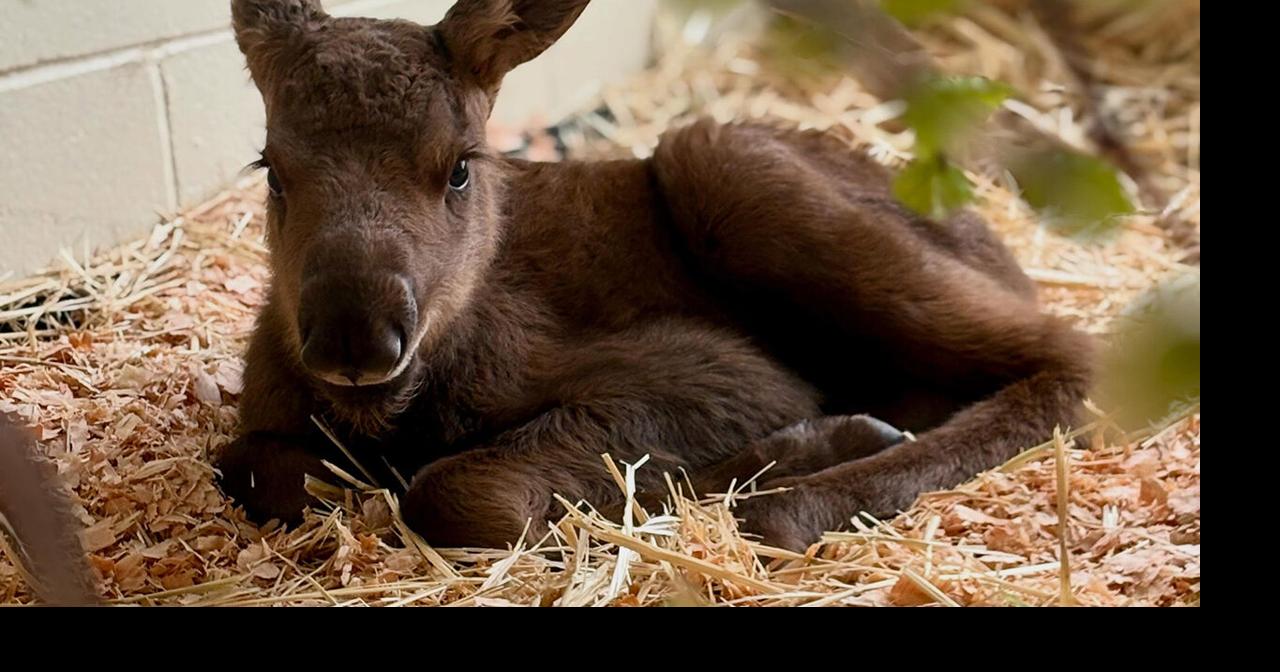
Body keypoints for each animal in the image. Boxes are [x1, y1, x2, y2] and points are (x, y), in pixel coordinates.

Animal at [215, 0, 1095, 552]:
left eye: (460, 168)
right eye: (272, 170)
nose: (355, 338)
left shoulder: (723, 371)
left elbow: (464, 493)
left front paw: (799, 448)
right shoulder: (269, 428)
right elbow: (250, 463)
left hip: (719, 160)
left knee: (1068, 353)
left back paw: (801, 494)